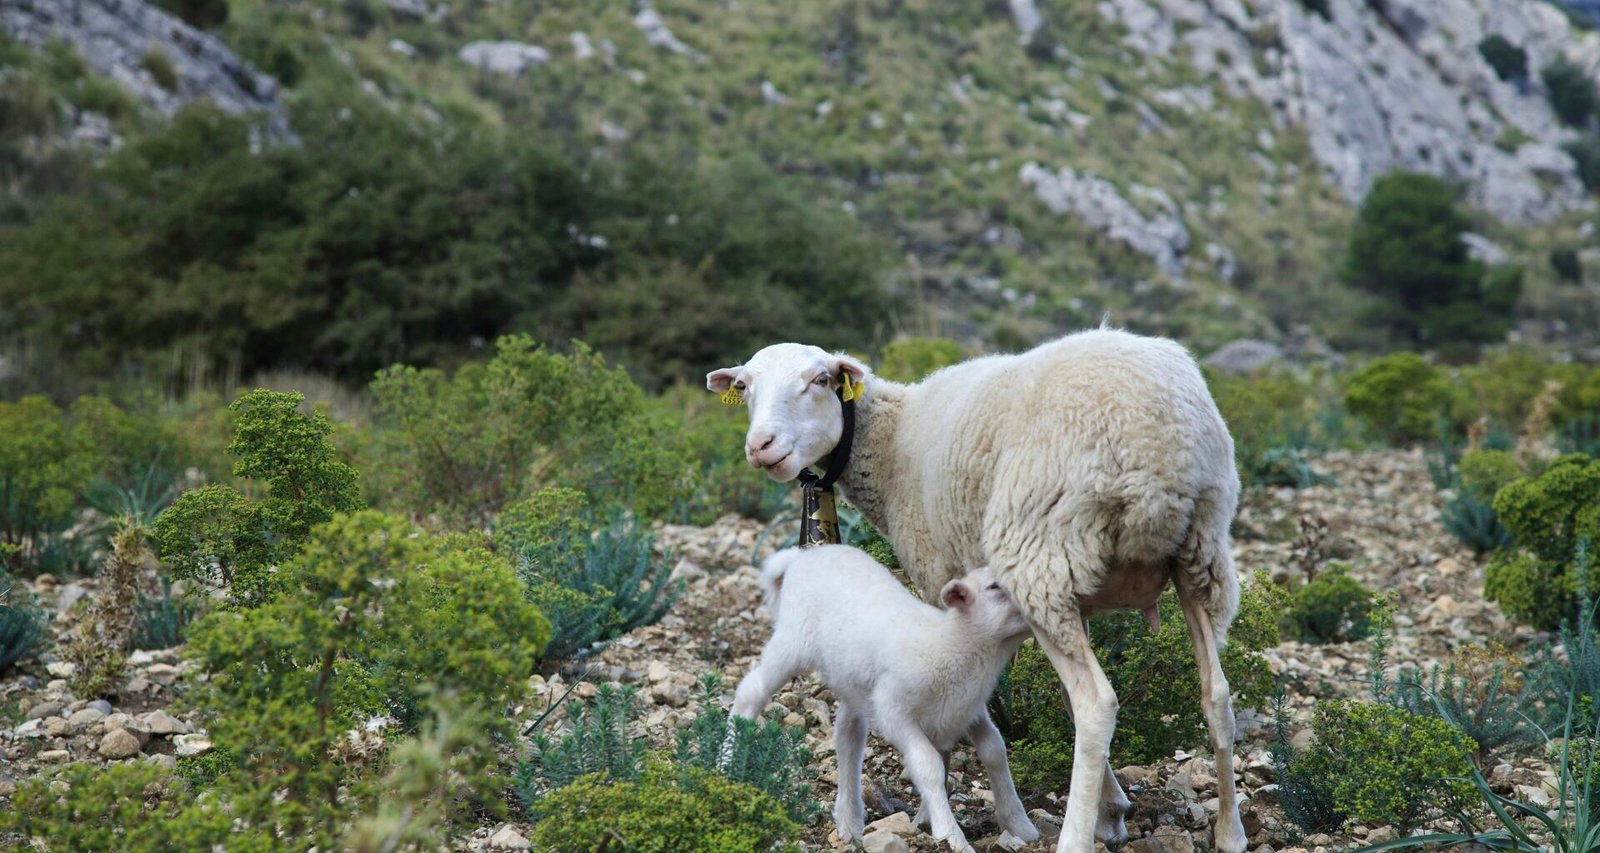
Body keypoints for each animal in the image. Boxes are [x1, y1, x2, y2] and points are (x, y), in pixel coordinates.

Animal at [732, 544, 1040, 851]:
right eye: (994, 586)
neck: (949, 646)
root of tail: (803, 555)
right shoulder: (893, 710)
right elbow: (928, 765)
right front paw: (949, 834)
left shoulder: (968, 711)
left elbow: (994, 751)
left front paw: (1019, 824)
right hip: (792, 642)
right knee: (751, 691)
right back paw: (729, 760)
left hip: (854, 683)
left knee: (848, 737)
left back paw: (849, 821)